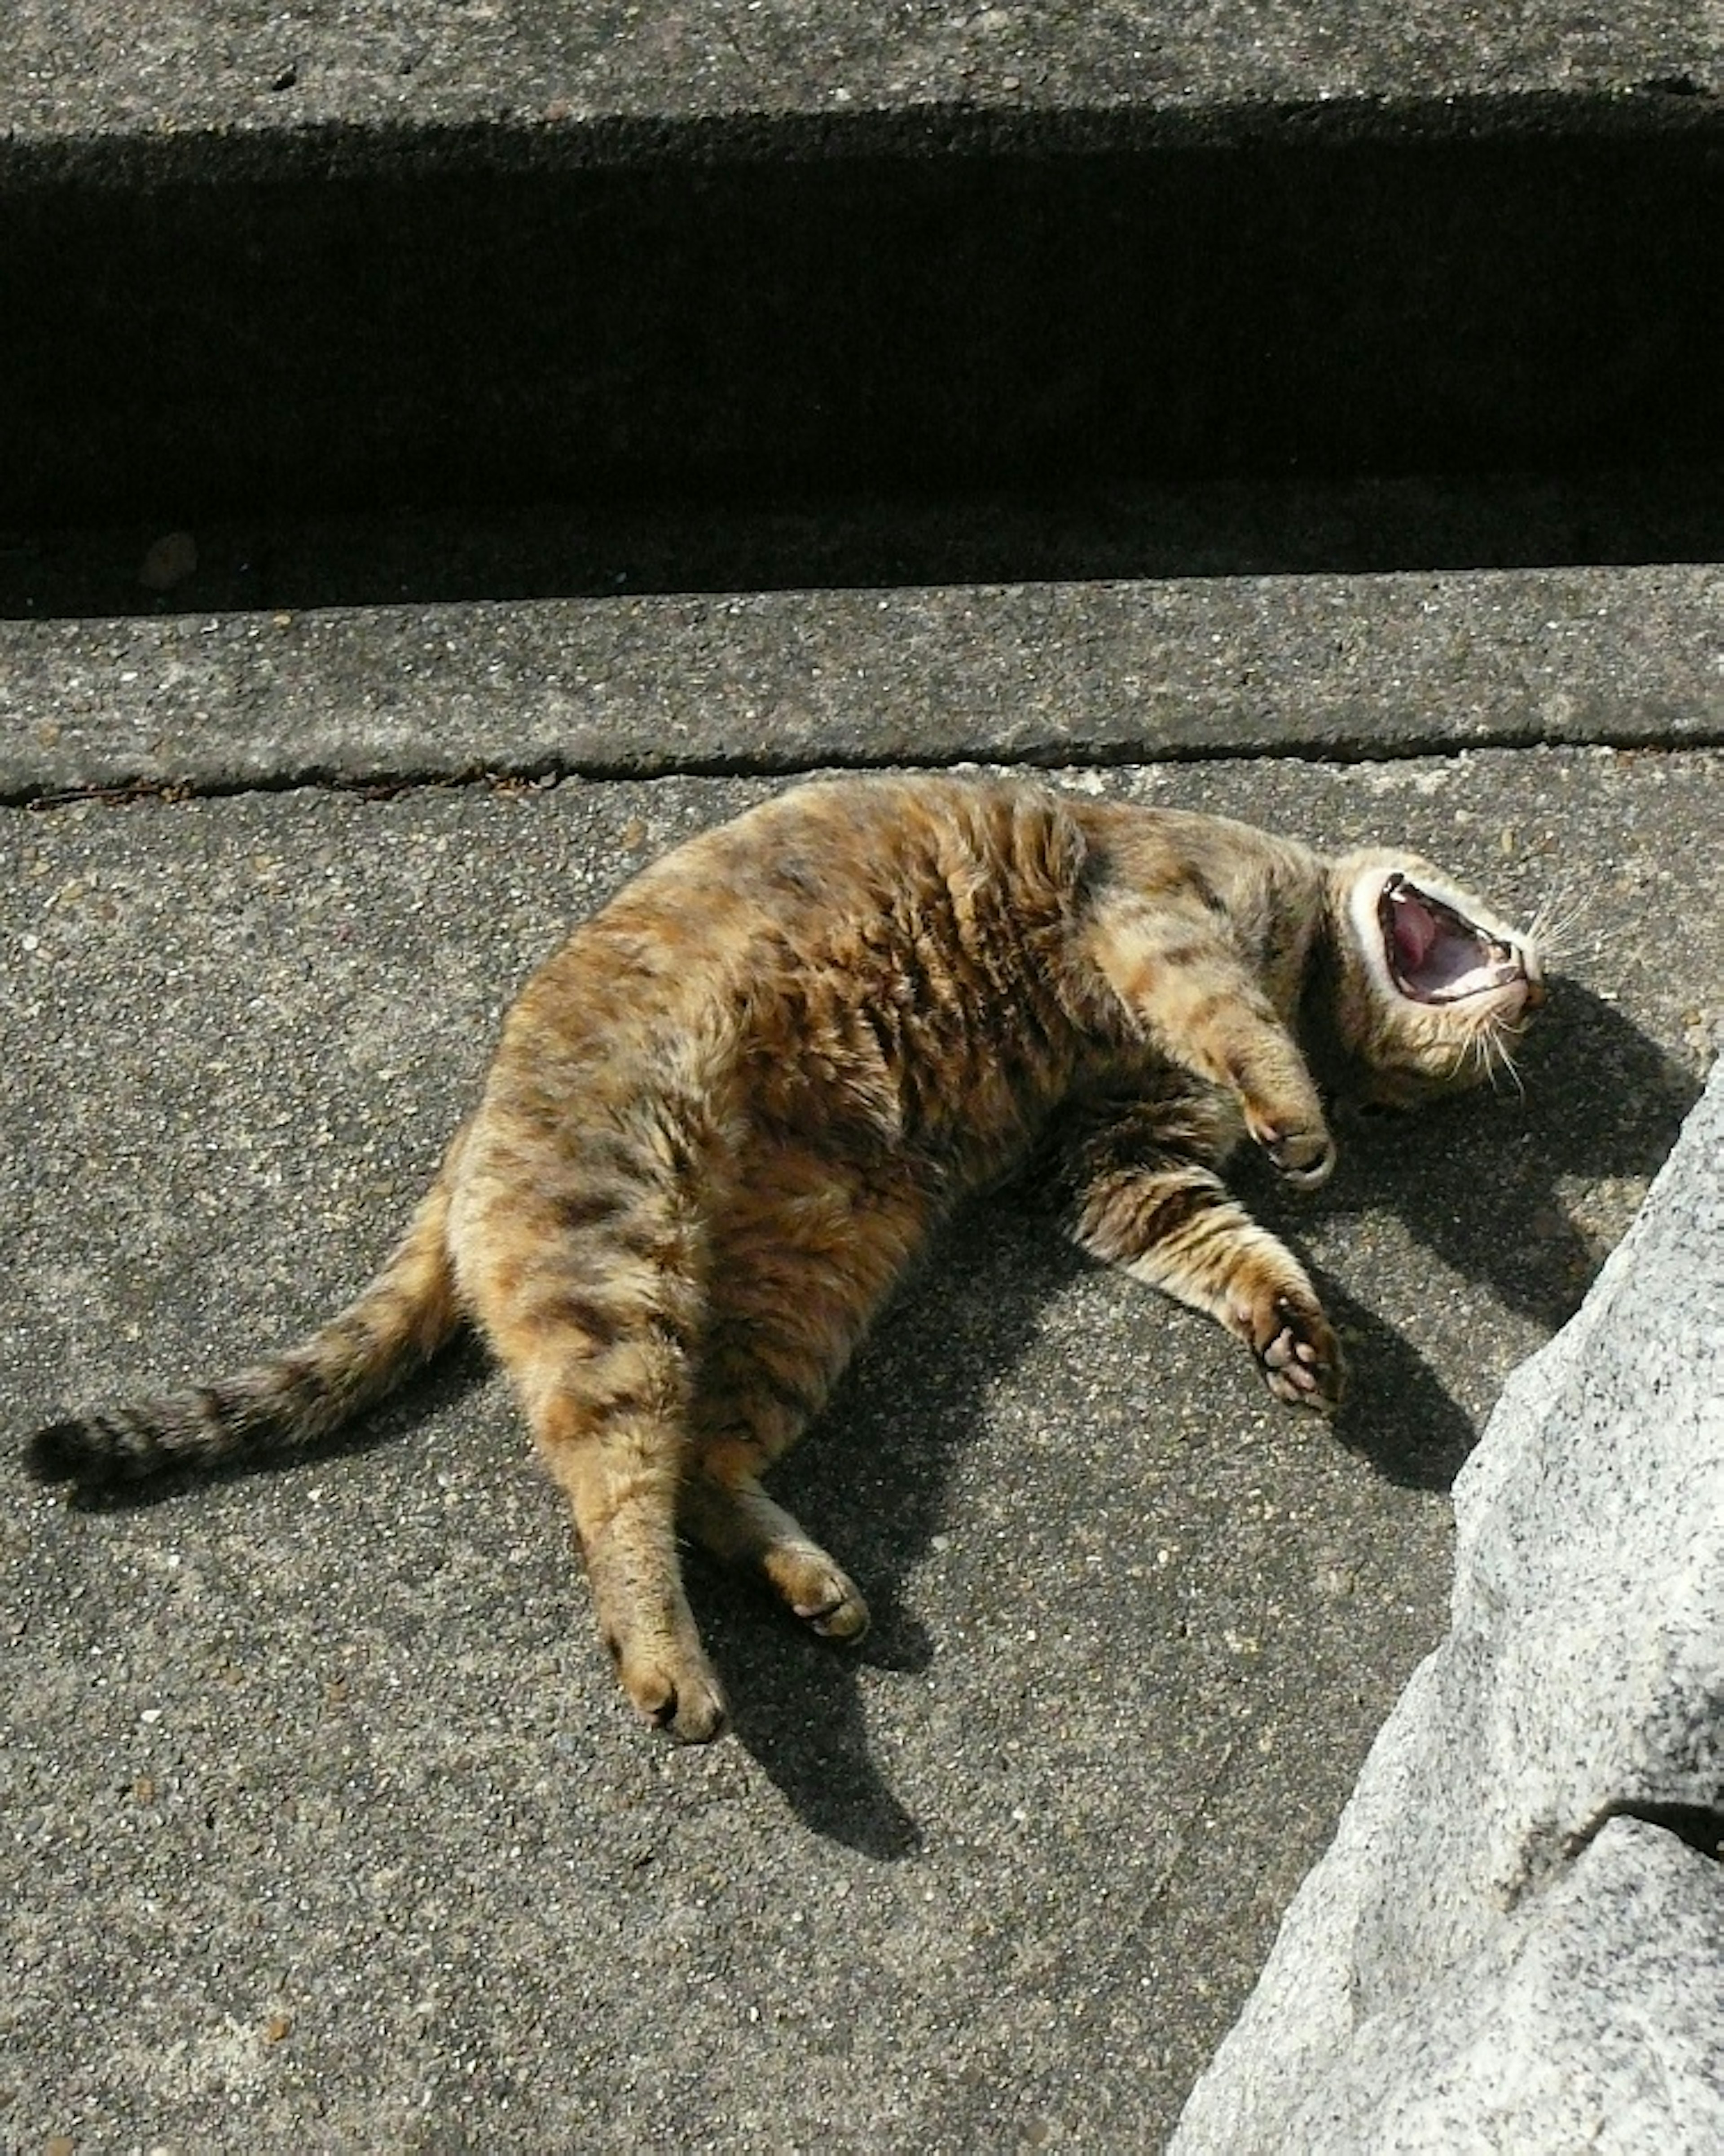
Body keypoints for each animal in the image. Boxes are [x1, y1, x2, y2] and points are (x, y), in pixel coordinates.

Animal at [27, 772, 1543, 1733]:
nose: (1530, 981)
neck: (1311, 974)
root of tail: (474, 1124)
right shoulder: (1153, 923)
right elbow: (1237, 1028)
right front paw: (1296, 1117)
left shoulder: (1118, 1166)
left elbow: (1233, 1251)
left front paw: (1296, 1332)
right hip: (616, 1254)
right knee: (612, 1488)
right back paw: (670, 1668)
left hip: (799, 1286)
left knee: (698, 1462)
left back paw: (800, 1584)